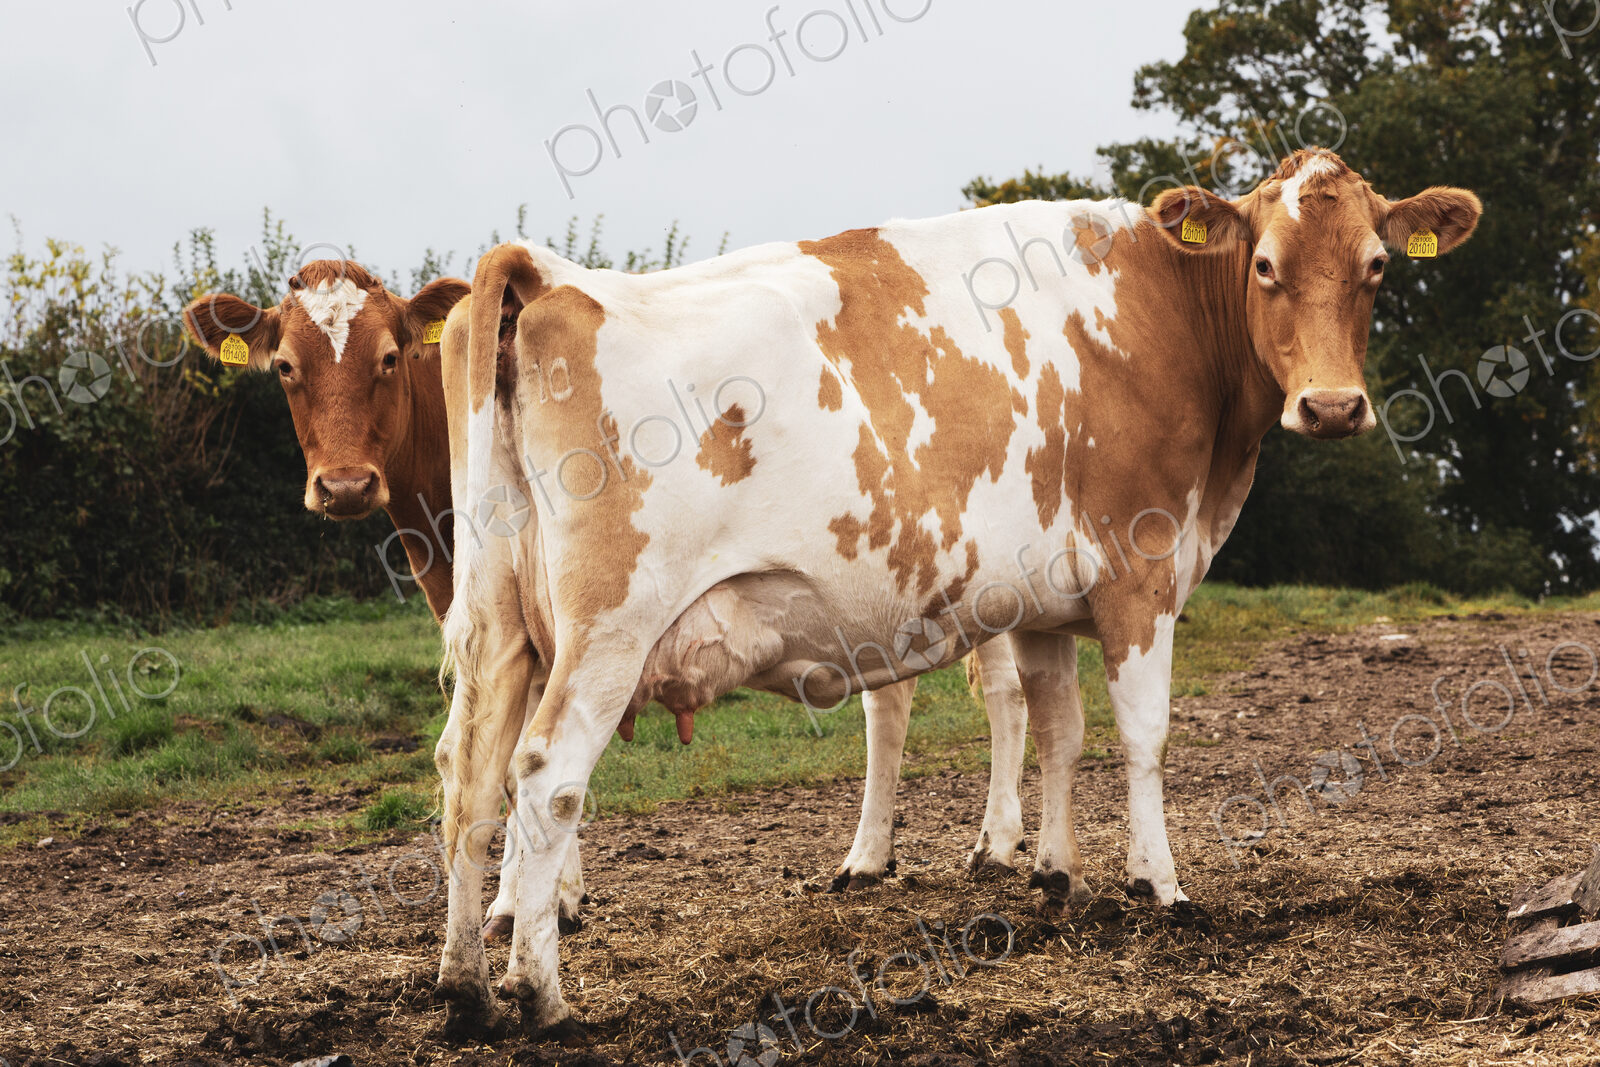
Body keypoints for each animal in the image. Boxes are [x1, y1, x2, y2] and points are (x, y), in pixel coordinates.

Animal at [180, 261, 1037, 944]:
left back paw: (997, 842)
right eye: (285, 367)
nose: (347, 483)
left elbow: (528, 757)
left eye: (389, 357)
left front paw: (538, 900)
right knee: (889, 702)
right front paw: (537, 898)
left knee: (1001, 689)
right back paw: (868, 856)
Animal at [432, 147, 1481, 1033]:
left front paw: (1054, 872)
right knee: (546, 775)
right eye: (1263, 264)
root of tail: (555, 279)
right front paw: (1161, 885)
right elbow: (1142, 735)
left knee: (468, 771)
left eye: (1378, 265)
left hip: (504, 625)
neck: (1159, 316)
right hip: (609, 626)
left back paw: (465, 988)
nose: (1333, 406)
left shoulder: (1045, 595)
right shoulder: (1140, 570)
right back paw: (542, 996)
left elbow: (1060, 728)